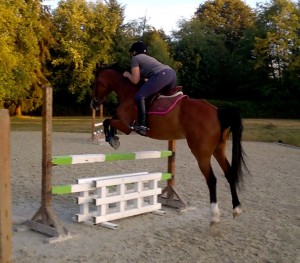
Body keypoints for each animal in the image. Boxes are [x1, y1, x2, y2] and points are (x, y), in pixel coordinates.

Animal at [90, 64, 247, 225]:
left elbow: (107, 121)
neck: (127, 92)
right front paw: (114, 138)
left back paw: (215, 215)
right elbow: (109, 120)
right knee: (229, 174)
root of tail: (218, 112)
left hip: (201, 153)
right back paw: (236, 208)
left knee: (212, 179)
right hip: (218, 149)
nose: (93, 104)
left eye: (96, 83)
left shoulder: (126, 126)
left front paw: (112, 139)